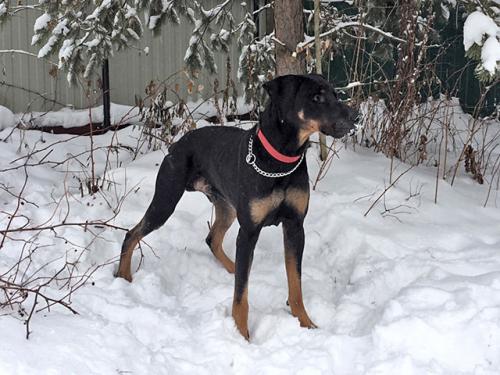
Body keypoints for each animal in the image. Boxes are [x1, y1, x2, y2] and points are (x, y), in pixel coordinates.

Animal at [116, 74, 360, 340]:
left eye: (335, 93)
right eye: (316, 97)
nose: (356, 117)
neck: (281, 160)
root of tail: (177, 144)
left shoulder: (295, 226)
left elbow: (295, 284)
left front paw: (305, 323)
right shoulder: (250, 230)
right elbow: (241, 297)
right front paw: (242, 336)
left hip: (227, 208)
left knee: (214, 241)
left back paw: (233, 268)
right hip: (166, 200)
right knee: (132, 233)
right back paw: (123, 276)